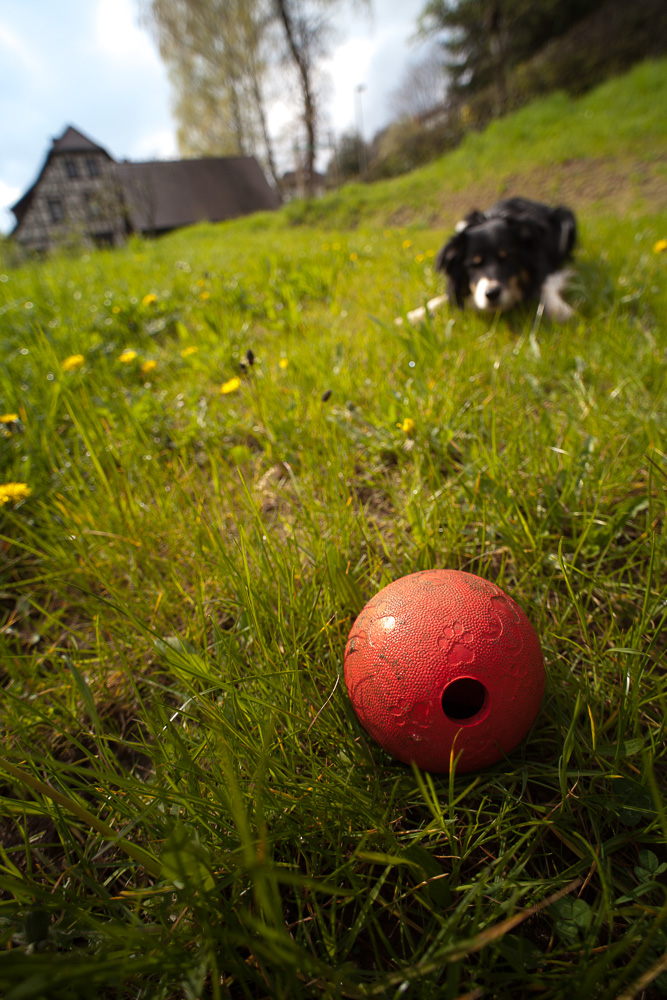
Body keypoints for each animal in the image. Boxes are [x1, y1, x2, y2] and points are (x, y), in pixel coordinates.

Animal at [400, 199, 576, 328]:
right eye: (474, 265)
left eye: (507, 258)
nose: (492, 294)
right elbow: (443, 297)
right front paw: (410, 317)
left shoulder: (546, 267)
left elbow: (545, 285)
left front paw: (559, 310)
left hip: (566, 219)